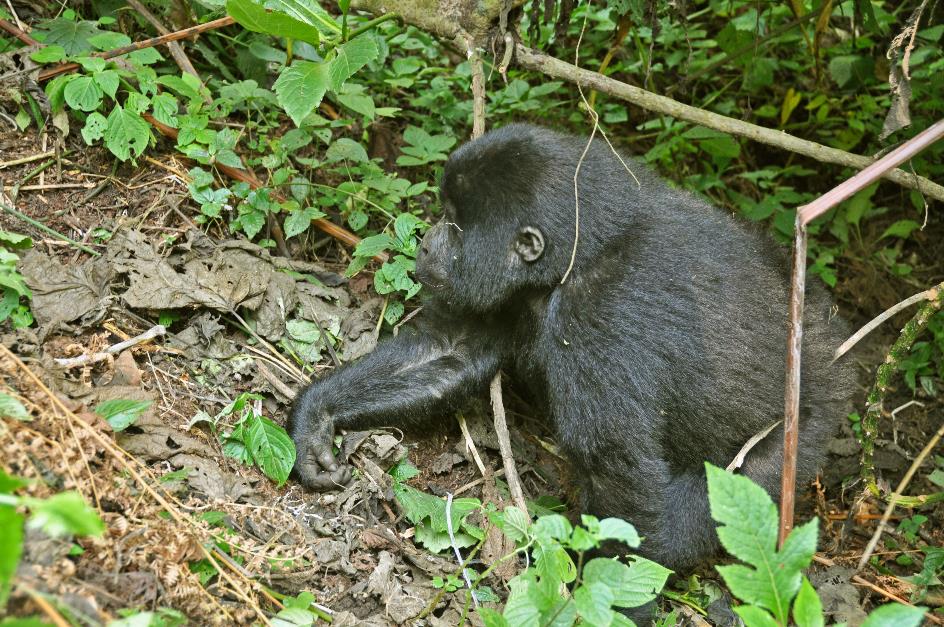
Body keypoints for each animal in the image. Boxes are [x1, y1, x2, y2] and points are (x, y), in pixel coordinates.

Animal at [288, 122, 856, 576]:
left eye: (455, 225)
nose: (426, 245)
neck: (585, 247)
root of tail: (832, 348)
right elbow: (447, 350)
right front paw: (316, 418)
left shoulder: (597, 317)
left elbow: (618, 473)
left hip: (799, 434)